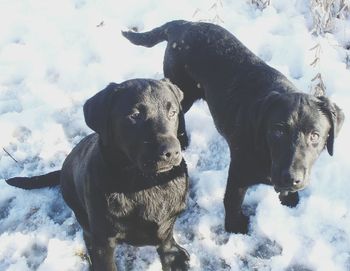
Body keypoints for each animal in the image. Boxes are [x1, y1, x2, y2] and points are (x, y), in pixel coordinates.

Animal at [6, 78, 189, 271]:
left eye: (173, 112)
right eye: (135, 115)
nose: (171, 152)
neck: (142, 182)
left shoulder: (167, 221)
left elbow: (166, 237)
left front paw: (173, 257)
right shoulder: (104, 238)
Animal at [122, 20, 344, 234]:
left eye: (315, 136)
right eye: (277, 131)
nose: (291, 178)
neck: (266, 152)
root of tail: (183, 24)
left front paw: (288, 198)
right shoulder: (238, 170)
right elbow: (232, 200)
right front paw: (234, 226)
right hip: (183, 88)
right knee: (177, 110)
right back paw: (182, 139)